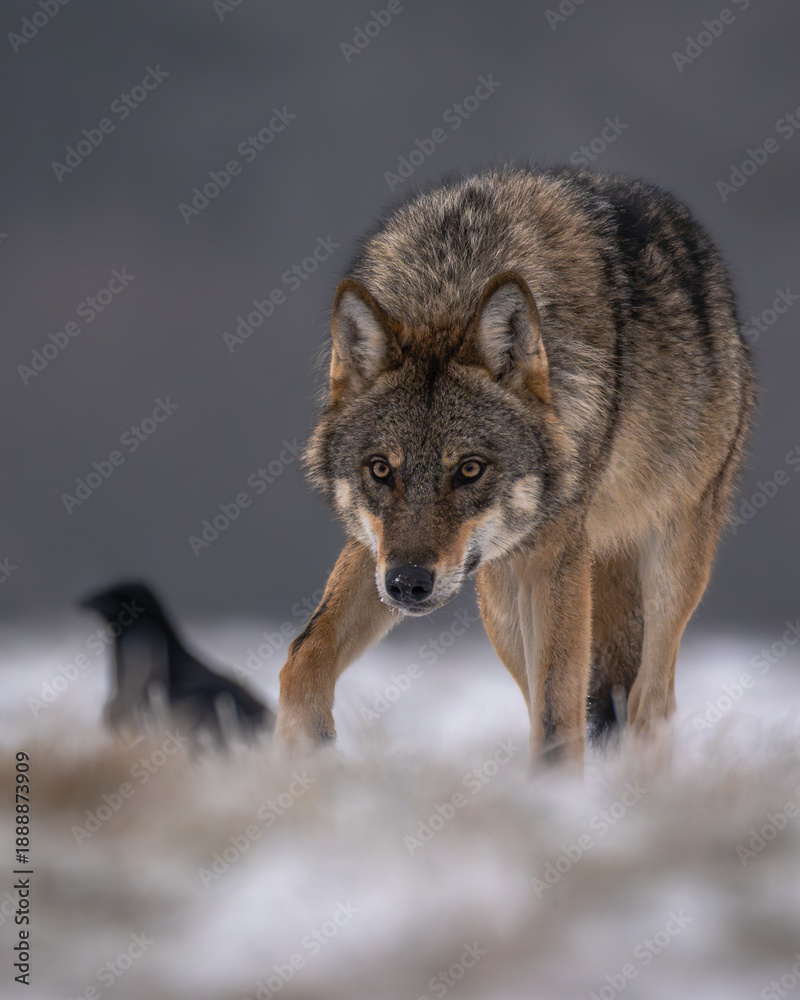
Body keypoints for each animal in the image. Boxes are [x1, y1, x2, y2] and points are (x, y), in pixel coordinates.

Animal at [276, 166, 754, 764]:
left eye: (470, 469)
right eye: (381, 470)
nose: (409, 585)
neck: (451, 284)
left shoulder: (555, 552)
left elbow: (557, 717)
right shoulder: (378, 544)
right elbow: (303, 657)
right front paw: (308, 750)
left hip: (667, 557)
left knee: (651, 701)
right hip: (499, 596)